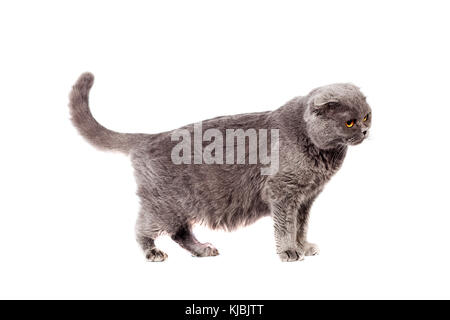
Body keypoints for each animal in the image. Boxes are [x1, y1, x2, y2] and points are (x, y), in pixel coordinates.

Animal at [69, 73, 372, 262]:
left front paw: (303, 246)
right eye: (349, 122)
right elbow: (286, 226)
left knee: (180, 232)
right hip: (165, 203)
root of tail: (148, 138)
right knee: (143, 227)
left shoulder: (306, 198)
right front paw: (288, 251)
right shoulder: (283, 193)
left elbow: (301, 225)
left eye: (367, 116)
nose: (366, 130)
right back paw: (152, 253)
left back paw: (202, 250)